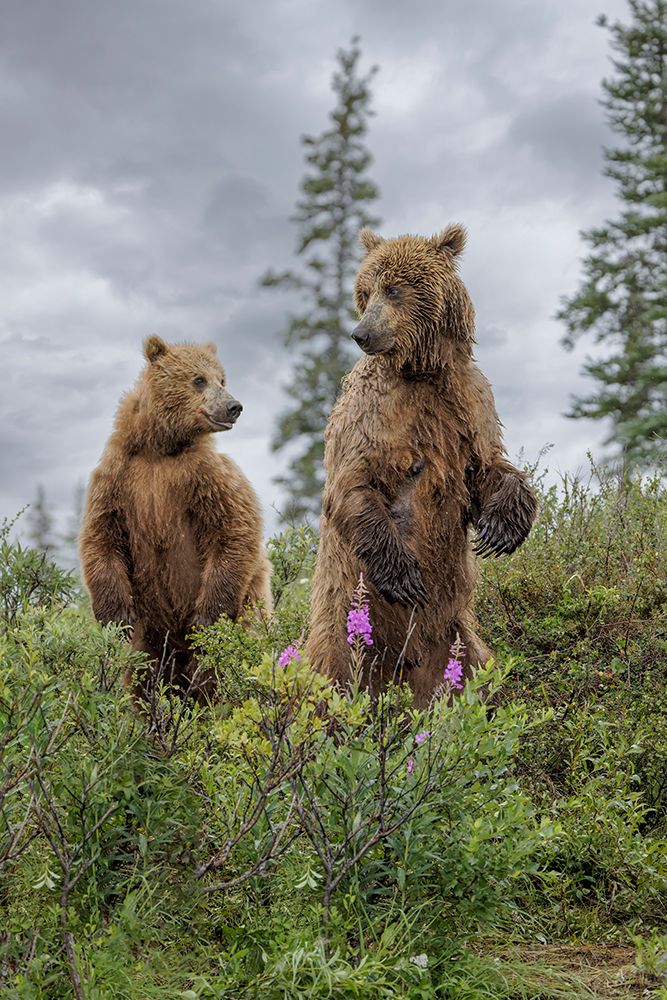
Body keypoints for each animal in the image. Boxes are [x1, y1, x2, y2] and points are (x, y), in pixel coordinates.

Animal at [80, 335, 272, 701]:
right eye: (199, 379)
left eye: (222, 378)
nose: (234, 406)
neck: (160, 446)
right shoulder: (117, 477)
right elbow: (101, 537)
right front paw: (116, 617)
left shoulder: (203, 477)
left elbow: (234, 529)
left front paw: (208, 617)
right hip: (152, 634)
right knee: (143, 673)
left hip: (247, 616)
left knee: (217, 671)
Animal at [306, 225, 538, 707]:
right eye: (365, 291)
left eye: (394, 288)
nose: (361, 333)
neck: (422, 371)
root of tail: (404, 673)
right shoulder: (373, 412)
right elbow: (353, 484)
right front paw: (405, 576)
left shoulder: (469, 402)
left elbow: (488, 468)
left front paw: (501, 528)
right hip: (345, 629)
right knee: (333, 681)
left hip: (455, 640)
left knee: (479, 675)